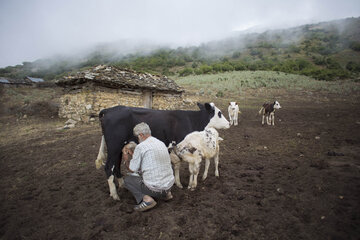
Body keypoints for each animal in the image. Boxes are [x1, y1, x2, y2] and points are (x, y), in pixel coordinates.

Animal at [95, 102, 231, 200]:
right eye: (219, 113)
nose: (229, 123)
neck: (192, 119)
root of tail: (109, 110)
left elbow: (179, 166)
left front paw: (180, 183)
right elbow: (180, 165)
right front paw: (182, 184)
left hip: (118, 150)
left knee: (116, 167)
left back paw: (122, 185)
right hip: (114, 148)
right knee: (109, 167)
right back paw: (115, 195)